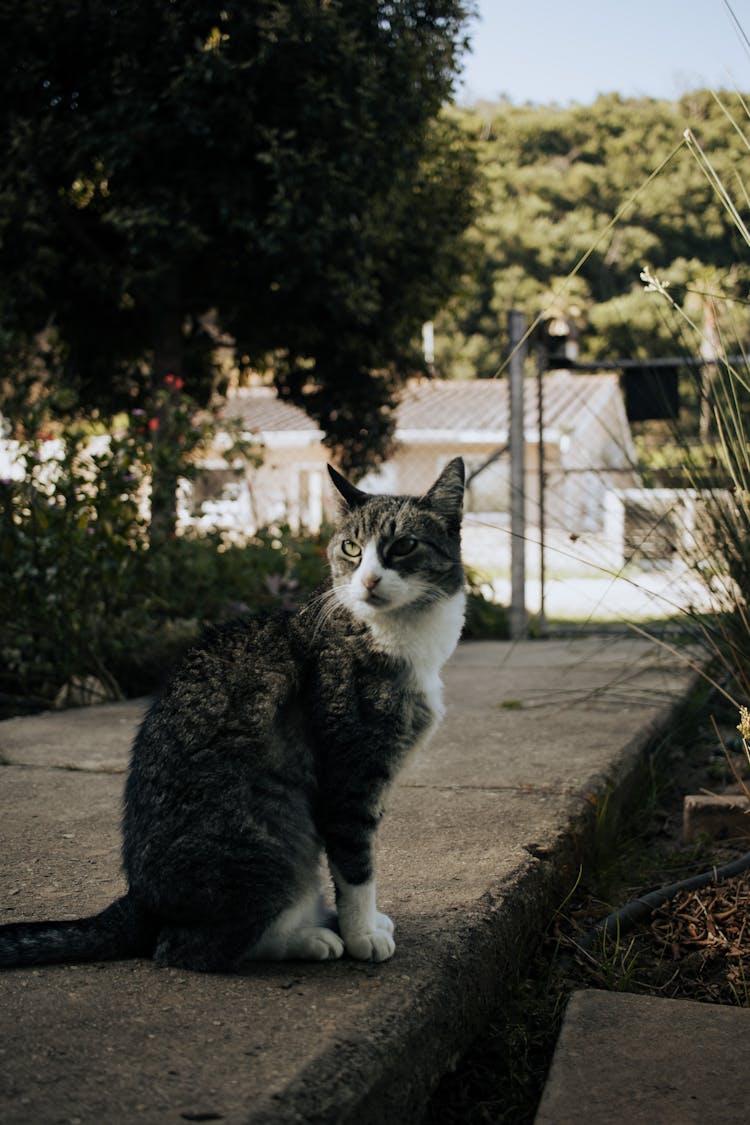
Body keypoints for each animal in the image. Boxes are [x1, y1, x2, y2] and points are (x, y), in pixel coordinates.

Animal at [0, 454, 465, 967]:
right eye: (351, 548)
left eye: (403, 546)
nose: (368, 580)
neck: (396, 635)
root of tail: (139, 900)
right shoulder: (350, 775)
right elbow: (356, 862)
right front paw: (363, 932)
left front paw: (368, 924)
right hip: (270, 839)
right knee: (184, 947)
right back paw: (309, 938)